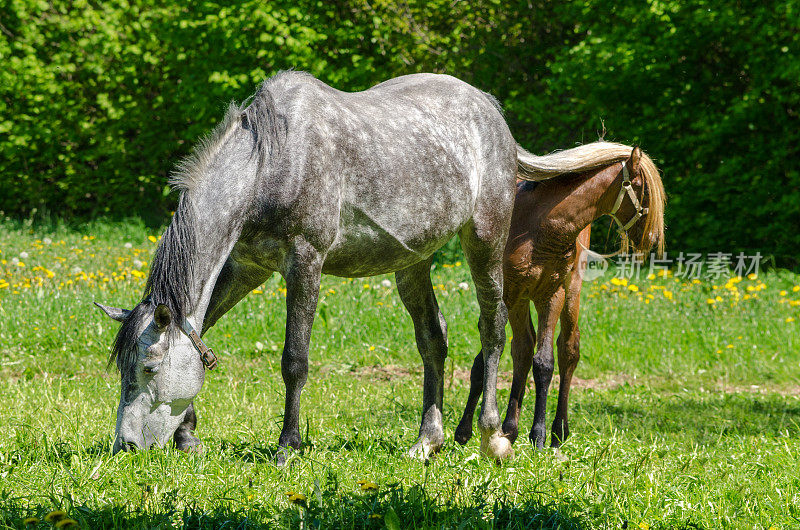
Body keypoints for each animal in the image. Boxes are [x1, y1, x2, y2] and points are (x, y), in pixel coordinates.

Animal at [94, 71, 532, 462]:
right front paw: (187, 434)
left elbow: (294, 361)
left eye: (150, 368)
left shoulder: (305, 264)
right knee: (433, 341)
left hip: (485, 241)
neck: (270, 163)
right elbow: (201, 333)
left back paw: (493, 438)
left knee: (493, 328)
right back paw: (427, 442)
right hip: (414, 263)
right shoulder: (247, 268)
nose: (125, 447)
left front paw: (288, 447)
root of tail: (489, 109)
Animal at [454, 142, 664, 448]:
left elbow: (544, 362)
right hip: (518, 299)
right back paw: (510, 428)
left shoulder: (551, 295)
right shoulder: (508, 293)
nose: (653, 240)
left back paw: (557, 430)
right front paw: (463, 431)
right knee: (522, 348)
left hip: (570, 292)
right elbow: (485, 360)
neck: (536, 225)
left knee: (567, 350)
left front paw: (538, 434)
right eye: (643, 189)